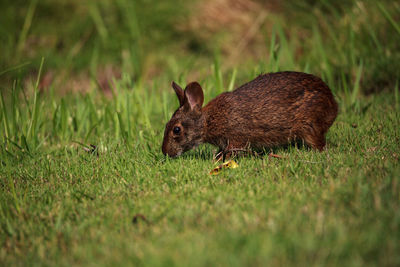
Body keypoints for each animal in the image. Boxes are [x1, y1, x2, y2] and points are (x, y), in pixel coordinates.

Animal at [162, 71, 338, 159]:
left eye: (176, 130)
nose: (165, 152)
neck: (208, 121)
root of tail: (333, 106)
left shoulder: (236, 137)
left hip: (310, 126)